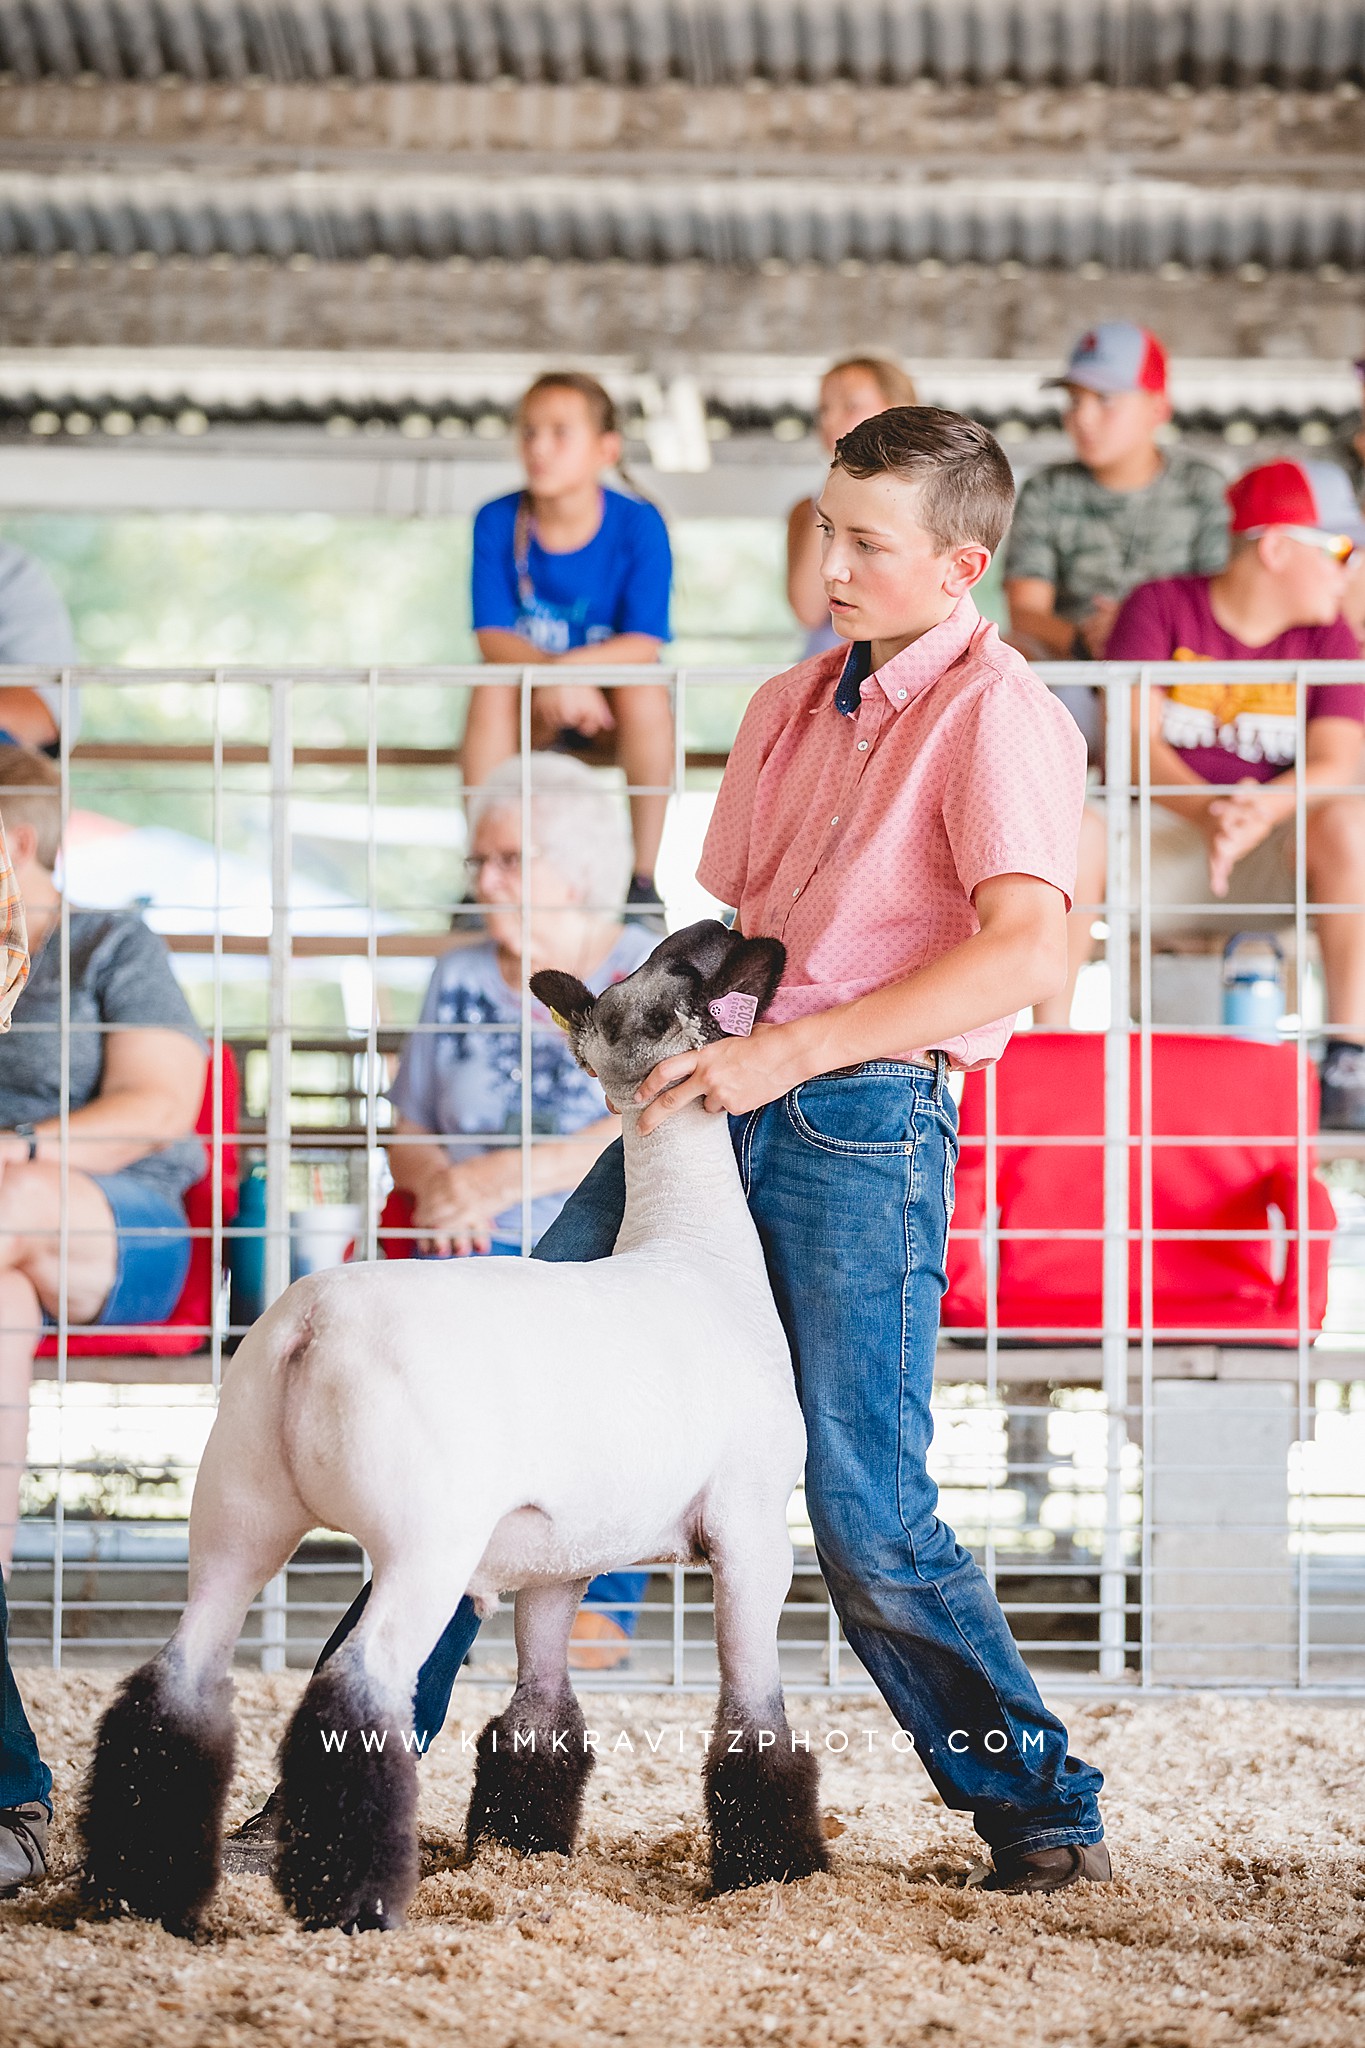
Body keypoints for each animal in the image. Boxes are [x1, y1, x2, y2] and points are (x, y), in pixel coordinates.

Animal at [80, 925, 826, 1933]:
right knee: (355, 1692)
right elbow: (755, 1722)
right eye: (686, 969)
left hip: (236, 1513)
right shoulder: (752, 1531)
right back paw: (351, 1901)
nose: (737, 928)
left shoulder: (558, 1561)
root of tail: (311, 1326)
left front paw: (523, 1849)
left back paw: (139, 1892)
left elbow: (540, 1712)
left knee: (176, 1688)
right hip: (422, 1542)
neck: (692, 1245)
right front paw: (777, 1868)